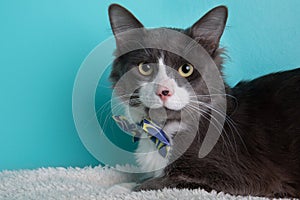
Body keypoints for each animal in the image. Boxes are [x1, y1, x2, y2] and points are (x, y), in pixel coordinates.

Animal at [108, 3, 300, 198]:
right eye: (145, 68)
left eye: (186, 69)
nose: (163, 91)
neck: (163, 131)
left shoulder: (243, 179)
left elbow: (156, 182)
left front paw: (120, 188)